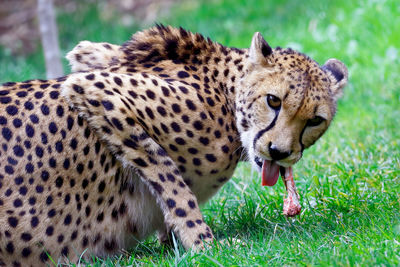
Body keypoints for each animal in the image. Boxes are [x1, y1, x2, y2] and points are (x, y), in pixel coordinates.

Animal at [0, 25, 346, 266]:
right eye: (273, 100)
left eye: (315, 120)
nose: (279, 152)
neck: (227, 96)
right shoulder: (96, 90)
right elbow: (171, 180)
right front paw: (204, 245)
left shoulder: (89, 57)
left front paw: (176, 242)